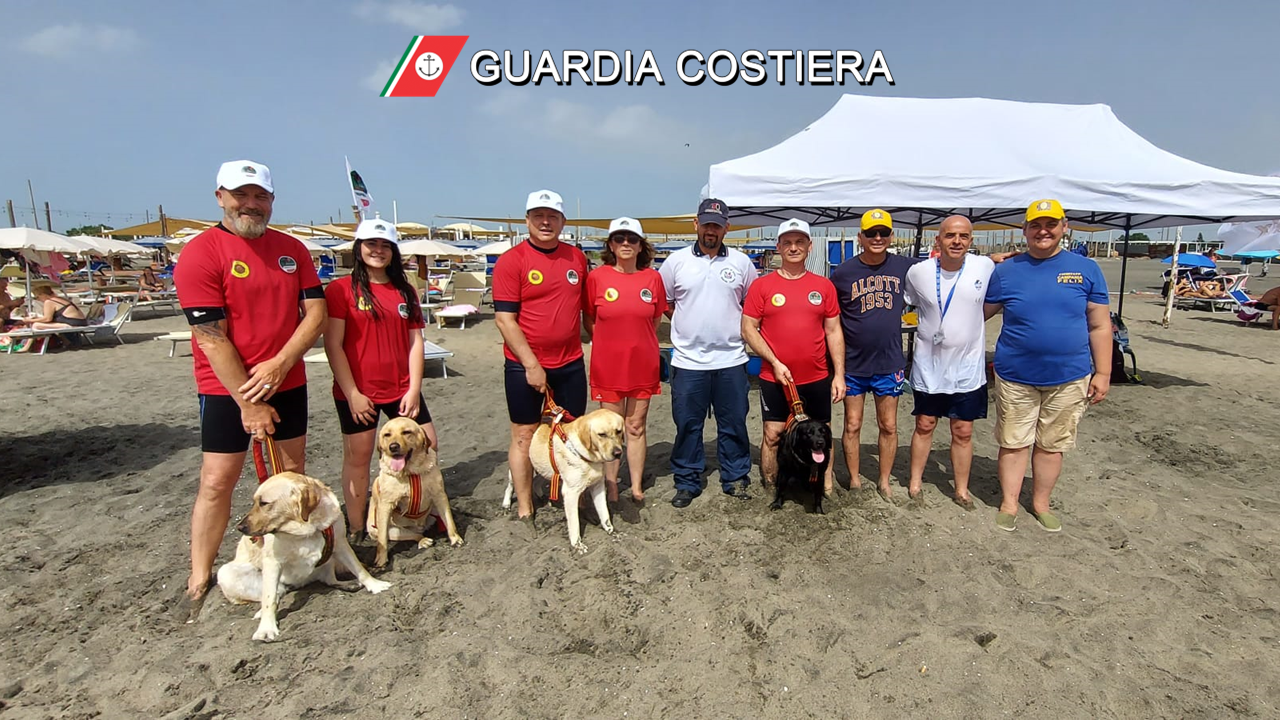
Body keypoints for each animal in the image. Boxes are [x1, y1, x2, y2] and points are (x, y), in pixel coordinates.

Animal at [218, 471, 389, 638]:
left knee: (328, 579)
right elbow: (269, 598)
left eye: (264, 503)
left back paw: (348, 584)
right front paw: (266, 628)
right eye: (255, 502)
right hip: (227, 573)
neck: (305, 527)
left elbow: (359, 569)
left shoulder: (340, 543)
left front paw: (375, 585)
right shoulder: (273, 561)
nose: (240, 527)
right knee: (276, 593)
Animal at [368, 415, 463, 566]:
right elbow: (382, 540)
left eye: (406, 432)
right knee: (415, 535)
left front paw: (455, 538)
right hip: (391, 530)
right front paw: (382, 560)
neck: (411, 472)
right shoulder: (385, 506)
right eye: (387, 435)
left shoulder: (439, 495)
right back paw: (423, 540)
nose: (393, 447)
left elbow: (449, 520)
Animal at [527, 407, 627, 550]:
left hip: (547, 470)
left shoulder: (598, 486)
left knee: (537, 481)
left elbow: (605, 514)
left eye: (618, 431)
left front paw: (612, 532)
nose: (618, 453)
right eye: (601, 434)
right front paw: (577, 545)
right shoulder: (570, 493)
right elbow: (574, 523)